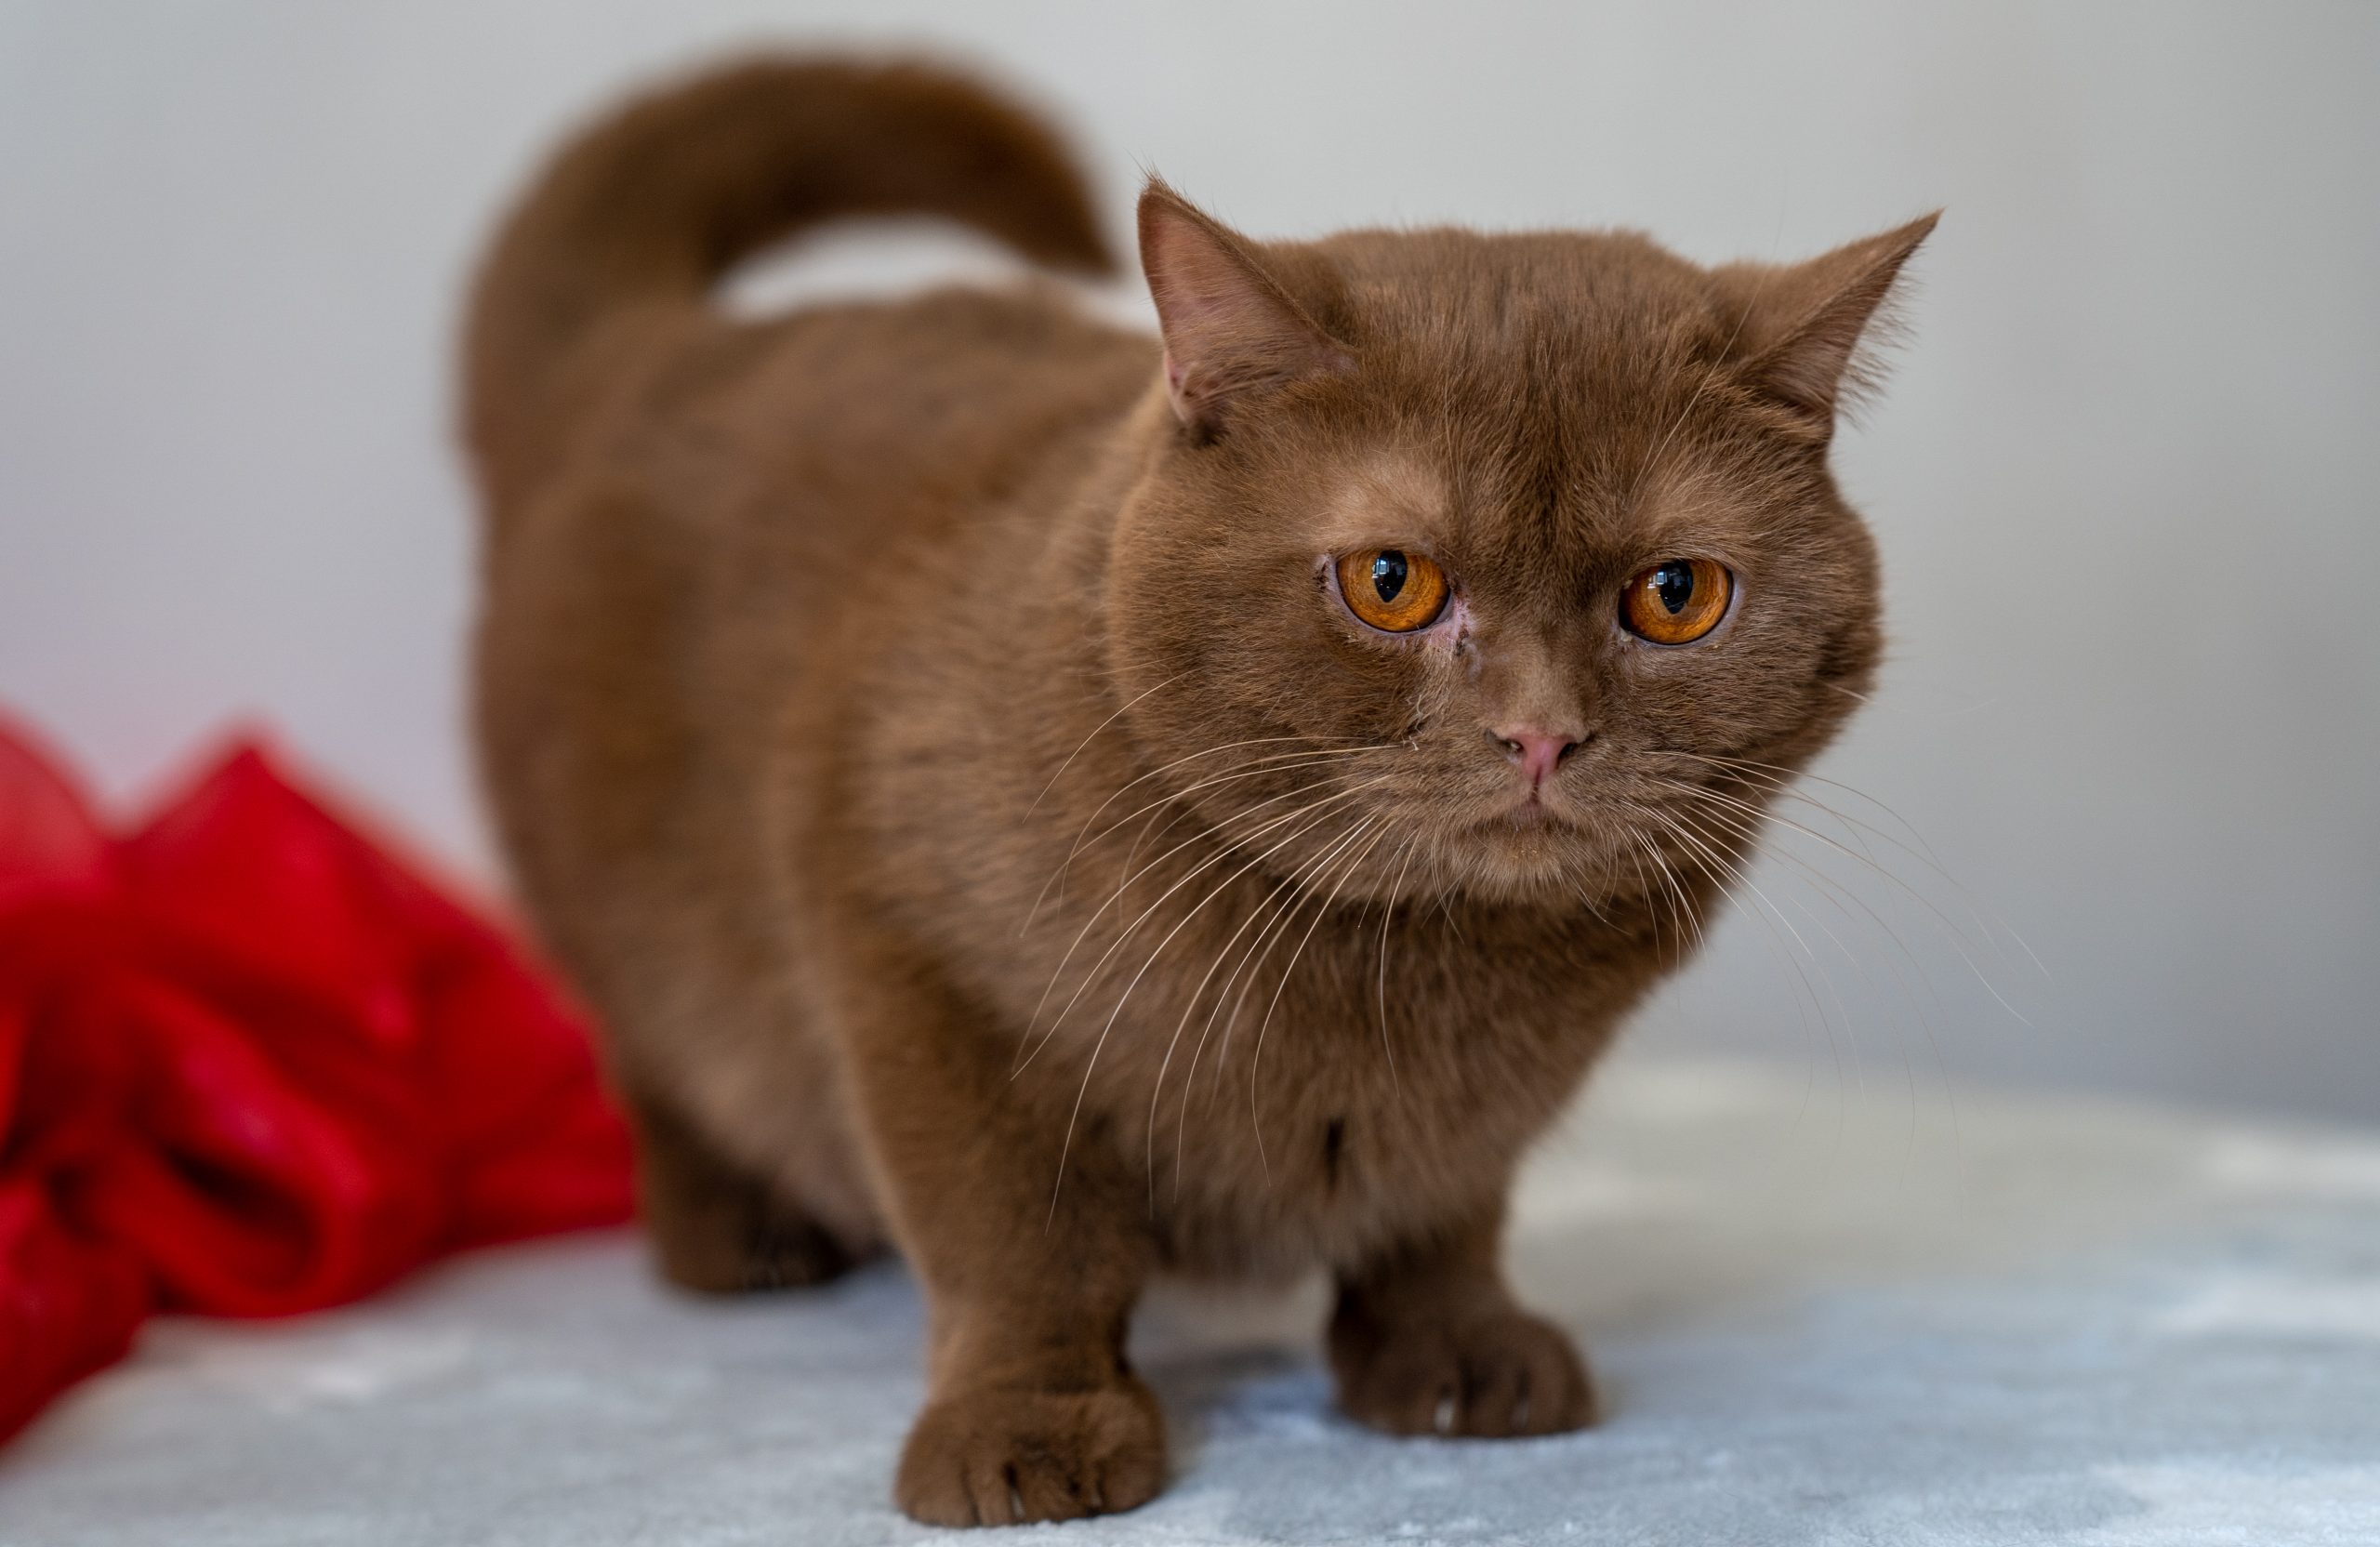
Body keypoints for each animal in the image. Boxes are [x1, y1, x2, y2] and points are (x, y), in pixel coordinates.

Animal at [459, 57, 1932, 1514]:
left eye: (1675, 595)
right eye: (1391, 582)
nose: (1539, 733)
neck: (1407, 970)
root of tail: (643, 349)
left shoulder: (1477, 1114)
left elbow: (1444, 1210)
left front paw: (1455, 1353)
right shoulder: (907, 942)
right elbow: (1015, 1235)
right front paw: (1025, 1428)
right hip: (631, 917)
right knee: (664, 1059)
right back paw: (745, 1232)